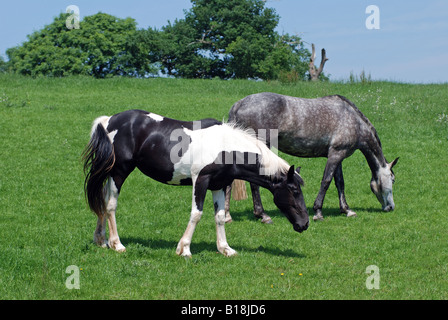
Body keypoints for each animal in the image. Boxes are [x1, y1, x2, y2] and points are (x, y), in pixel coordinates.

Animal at [83, 110, 308, 258]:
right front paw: (184, 249)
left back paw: (101, 240)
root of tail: (109, 121)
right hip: (119, 172)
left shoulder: (218, 185)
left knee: (102, 201)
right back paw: (116, 244)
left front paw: (225, 248)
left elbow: (219, 216)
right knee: (111, 205)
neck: (227, 148)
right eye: (294, 190)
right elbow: (196, 214)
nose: (304, 224)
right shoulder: (200, 181)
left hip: (111, 174)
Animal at [228, 92, 400, 222]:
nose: (391, 207)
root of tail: (239, 104)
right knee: (254, 183)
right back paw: (262, 215)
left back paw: (228, 216)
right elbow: (326, 181)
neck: (354, 121)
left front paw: (347, 210)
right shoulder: (336, 155)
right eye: (392, 180)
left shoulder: (337, 155)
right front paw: (318, 212)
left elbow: (340, 183)